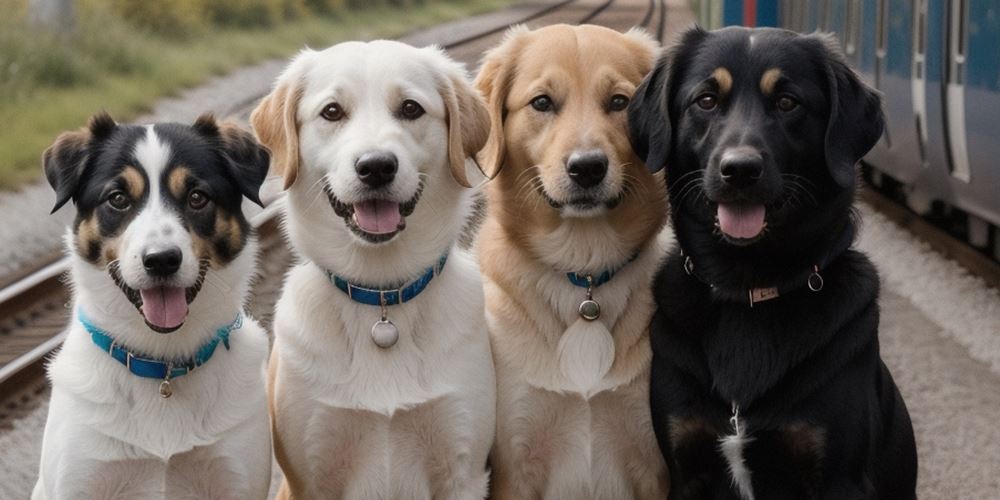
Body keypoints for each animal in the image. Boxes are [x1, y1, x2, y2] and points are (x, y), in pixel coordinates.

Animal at [33, 113, 274, 500]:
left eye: (197, 197)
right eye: (117, 198)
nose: (161, 260)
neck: (162, 363)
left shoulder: (236, 477)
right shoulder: (79, 480)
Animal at [252, 41, 494, 498]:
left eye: (411, 108)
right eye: (331, 112)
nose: (376, 166)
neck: (381, 297)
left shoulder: (463, 469)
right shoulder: (310, 477)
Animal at [628, 28, 916, 500]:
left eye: (787, 102)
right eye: (706, 100)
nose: (740, 170)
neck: (745, 288)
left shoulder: (838, 476)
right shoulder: (685, 467)